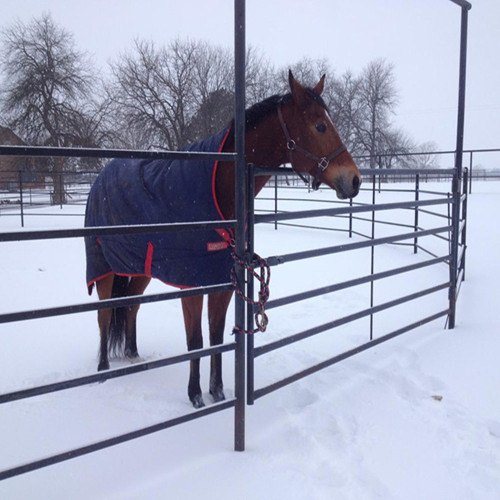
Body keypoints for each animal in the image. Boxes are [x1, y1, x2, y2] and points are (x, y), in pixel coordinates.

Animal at [85, 70, 360, 408]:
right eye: (320, 125)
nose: (355, 179)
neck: (218, 187)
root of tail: (99, 180)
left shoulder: (222, 278)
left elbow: (216, 334)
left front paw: (217, 391)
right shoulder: (190, 283)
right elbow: (196, 340)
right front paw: (195, 395)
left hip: (139, 269)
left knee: (131, 306)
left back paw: (133, 355)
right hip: (104, 269)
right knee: (104, 314)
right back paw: (103, 369)